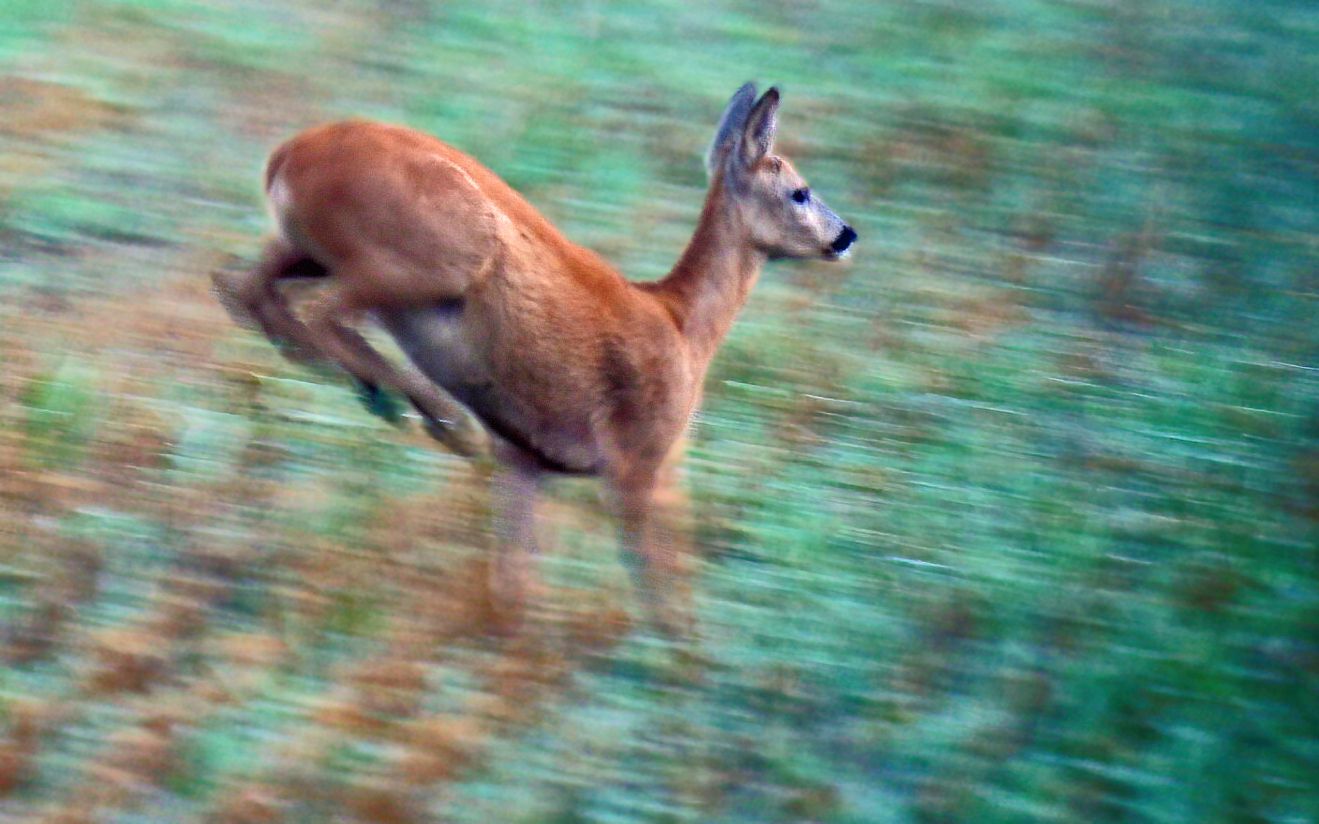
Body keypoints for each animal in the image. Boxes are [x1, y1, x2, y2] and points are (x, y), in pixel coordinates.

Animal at [213, 83, 854, 632]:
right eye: (800, 190)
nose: (846, 234)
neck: (682, 327)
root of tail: (287, 158)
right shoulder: (638, 458)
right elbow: (659, 579)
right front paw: (679, 659)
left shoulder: (526, 458)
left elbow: (515, 585)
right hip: (428, 257)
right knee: (314, 309)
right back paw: (440, 418)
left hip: (306, 248)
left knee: (243, 289)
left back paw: (395, 404)